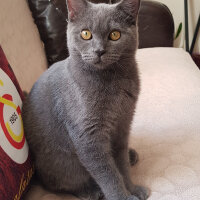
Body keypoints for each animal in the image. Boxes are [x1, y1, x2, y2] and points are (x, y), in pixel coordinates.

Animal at [22, 0, 149, 200]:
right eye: (85, 33)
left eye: (115, 34)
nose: (99, 51)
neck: (112, 83)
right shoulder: (88, 138)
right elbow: (109, 175)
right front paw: (123, 196)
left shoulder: (123, 124)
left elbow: (121, 165)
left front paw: (133, 188)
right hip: (63, 166)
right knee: (58, 184)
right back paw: (91, 191)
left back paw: (131, 155)